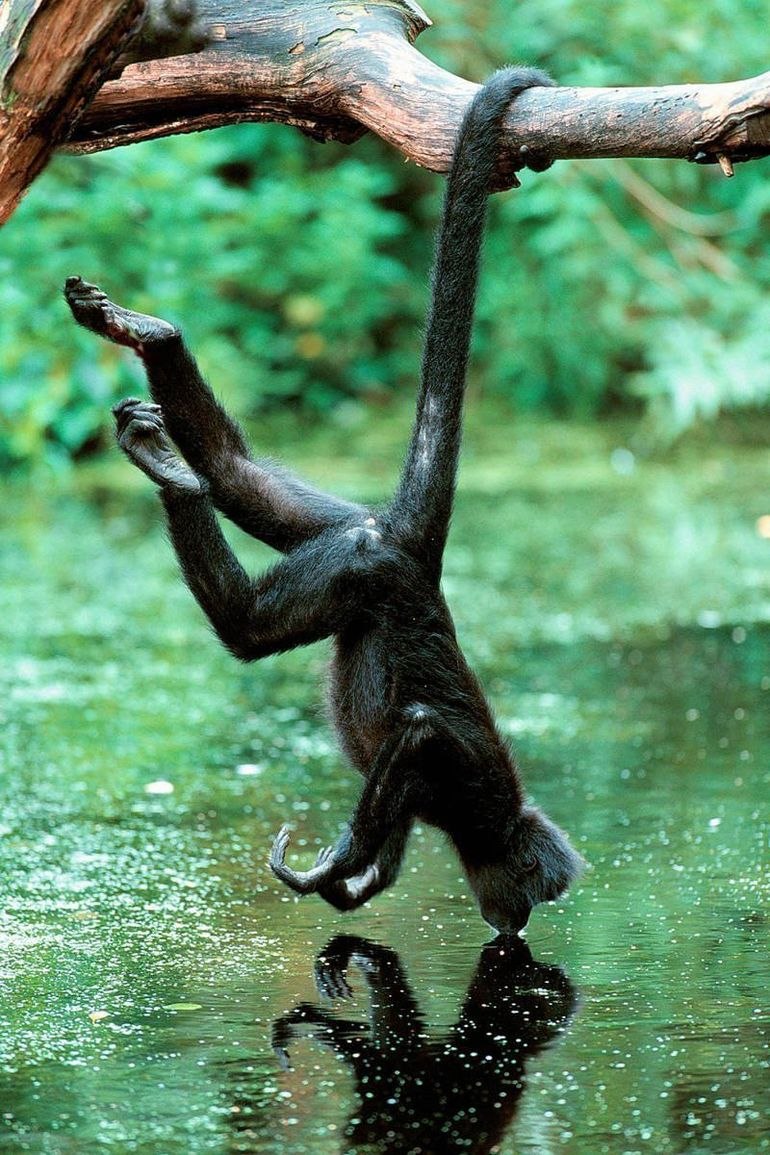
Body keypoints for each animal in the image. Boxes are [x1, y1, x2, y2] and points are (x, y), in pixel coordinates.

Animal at [63, 66, 584, 934]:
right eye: (538, 893)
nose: (515, 921)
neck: (493, 820)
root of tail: (409, 553)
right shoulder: (473, 784)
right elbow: (418, 733)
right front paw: (343, 859)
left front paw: (354, 876)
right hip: (360, 564)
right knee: (247, 626)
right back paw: (173, 467)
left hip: (344, 536)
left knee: (238, 476)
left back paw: (160, 357)